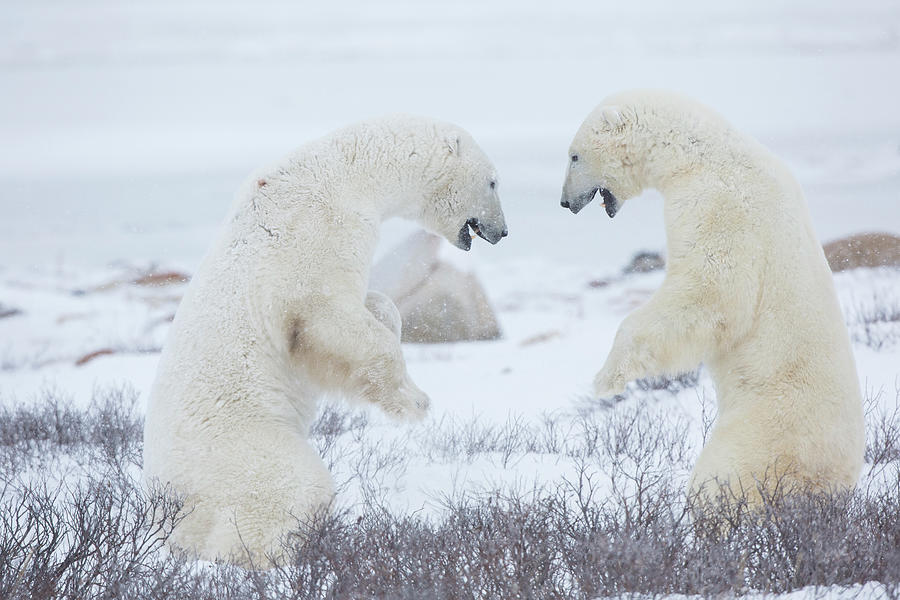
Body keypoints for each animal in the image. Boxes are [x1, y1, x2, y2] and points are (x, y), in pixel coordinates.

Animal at [142, 115, 506, 564]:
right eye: (493, 181)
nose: (503, 231)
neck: (347, 172)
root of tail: (163, 504)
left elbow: (377, 305)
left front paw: (387, 321)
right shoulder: (315, 234)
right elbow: (326, 315)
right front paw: (413, 402)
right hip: (239, 451)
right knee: (289, 486)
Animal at [564, 89, 864, 502]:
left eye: (574, 156)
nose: (565, 202)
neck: (700, 152)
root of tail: (839, 477)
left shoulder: (721, 203)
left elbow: (712, 292)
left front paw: (606, 379)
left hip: (771, 424)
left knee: (725, 474)